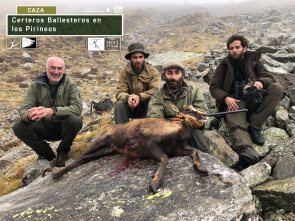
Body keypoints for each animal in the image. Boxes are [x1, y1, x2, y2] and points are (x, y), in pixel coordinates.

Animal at [53, 90, 210, 193]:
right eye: (188, 109)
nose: (204, 115)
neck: (173, 132)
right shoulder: (152, 146)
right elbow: (165, 159)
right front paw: (154, 183)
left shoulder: (175, 149)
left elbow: (194, 151)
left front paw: (201, 167)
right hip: (99, 142)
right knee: (80, 156)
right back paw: (56, 173)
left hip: (106, 149)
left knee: (85, 157)